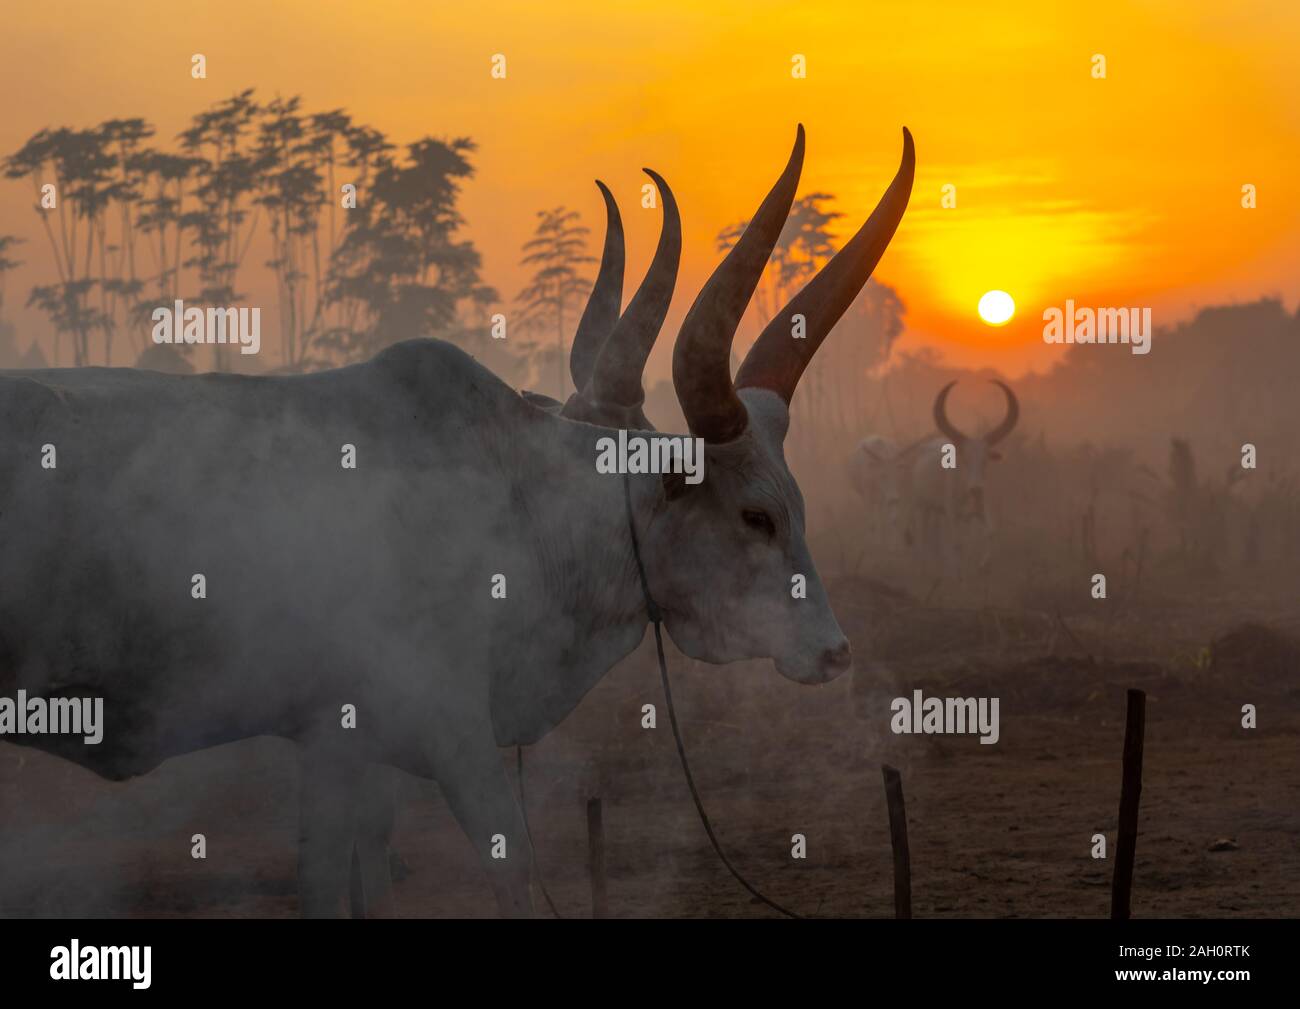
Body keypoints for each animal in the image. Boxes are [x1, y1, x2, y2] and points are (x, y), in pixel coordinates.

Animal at [0, 122, 915, 920]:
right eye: (757, 514)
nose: (834, 651)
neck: (525, 507)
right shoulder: (448, 727)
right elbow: (508, 870)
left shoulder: (337, 740)